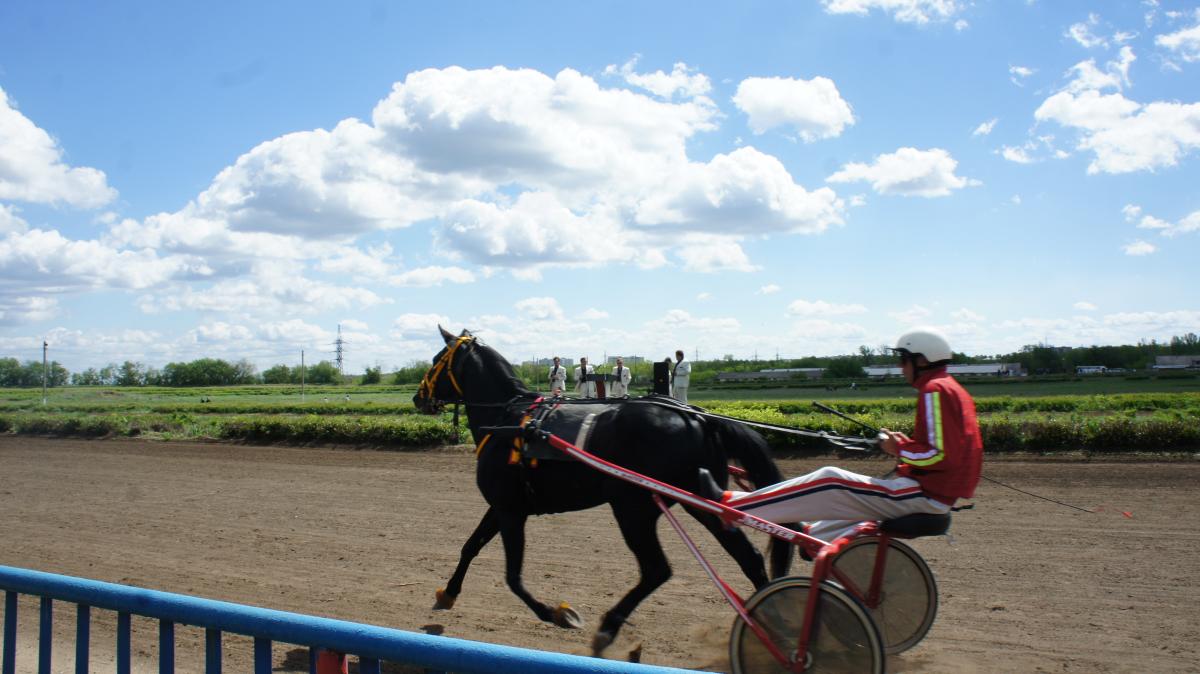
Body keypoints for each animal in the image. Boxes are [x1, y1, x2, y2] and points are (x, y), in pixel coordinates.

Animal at [412, 328, 796, 652]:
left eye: (436, 359)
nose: (418, 397)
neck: (510, 420)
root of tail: (697, 417)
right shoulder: (503, 505)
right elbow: (470, 546)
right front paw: (447, 593)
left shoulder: (510, 510)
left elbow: (513, 577)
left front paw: (557, 613)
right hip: (697, 501)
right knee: (747, 557)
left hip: (633, 506)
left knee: (658, 569)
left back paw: (609, 626)